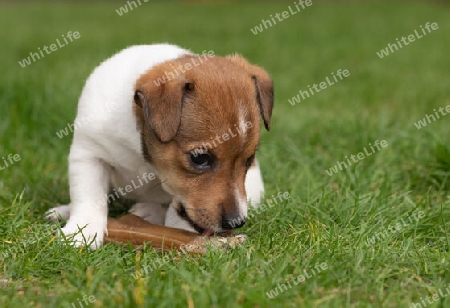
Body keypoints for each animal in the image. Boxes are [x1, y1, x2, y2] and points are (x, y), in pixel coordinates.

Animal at [48, 43, 274, 249]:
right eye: (200, 158)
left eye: (249, 159)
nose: (236, 223)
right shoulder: (89, 153)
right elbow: (89, 195)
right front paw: (81, 231)